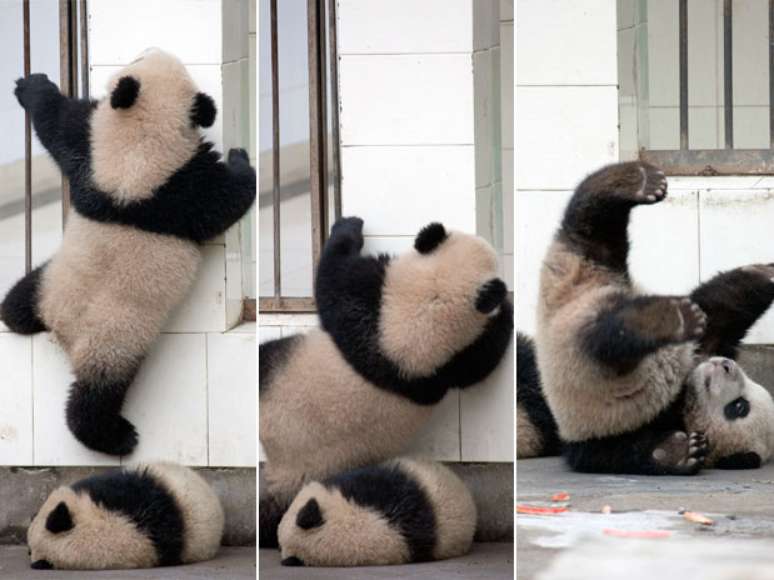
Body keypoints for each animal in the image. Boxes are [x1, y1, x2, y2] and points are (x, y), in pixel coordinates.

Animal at [0, 48, 256, 456]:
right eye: (140, 57)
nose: (151, 49)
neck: (138, 149)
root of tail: (61, 329)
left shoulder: (93, 156)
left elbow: (59, 125)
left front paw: (33, 86)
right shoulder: (179, 187)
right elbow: (227, 200)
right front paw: (240, 160)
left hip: (50, 281)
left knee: (19, 300)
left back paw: (15, 314)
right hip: (114, 342)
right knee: (96, 395)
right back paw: (116, 437)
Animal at [535, 160, 774, 475]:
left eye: (739, 407)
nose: (726, 365)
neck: (684, 396)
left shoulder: (612, 426)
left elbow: (619, 453)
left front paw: (680, 450)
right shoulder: (700, 349)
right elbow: (721, 308)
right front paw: (767, 274)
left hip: (585, 323)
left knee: (608, 336)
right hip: (599, 276)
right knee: (593, 228)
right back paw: (634, 180)